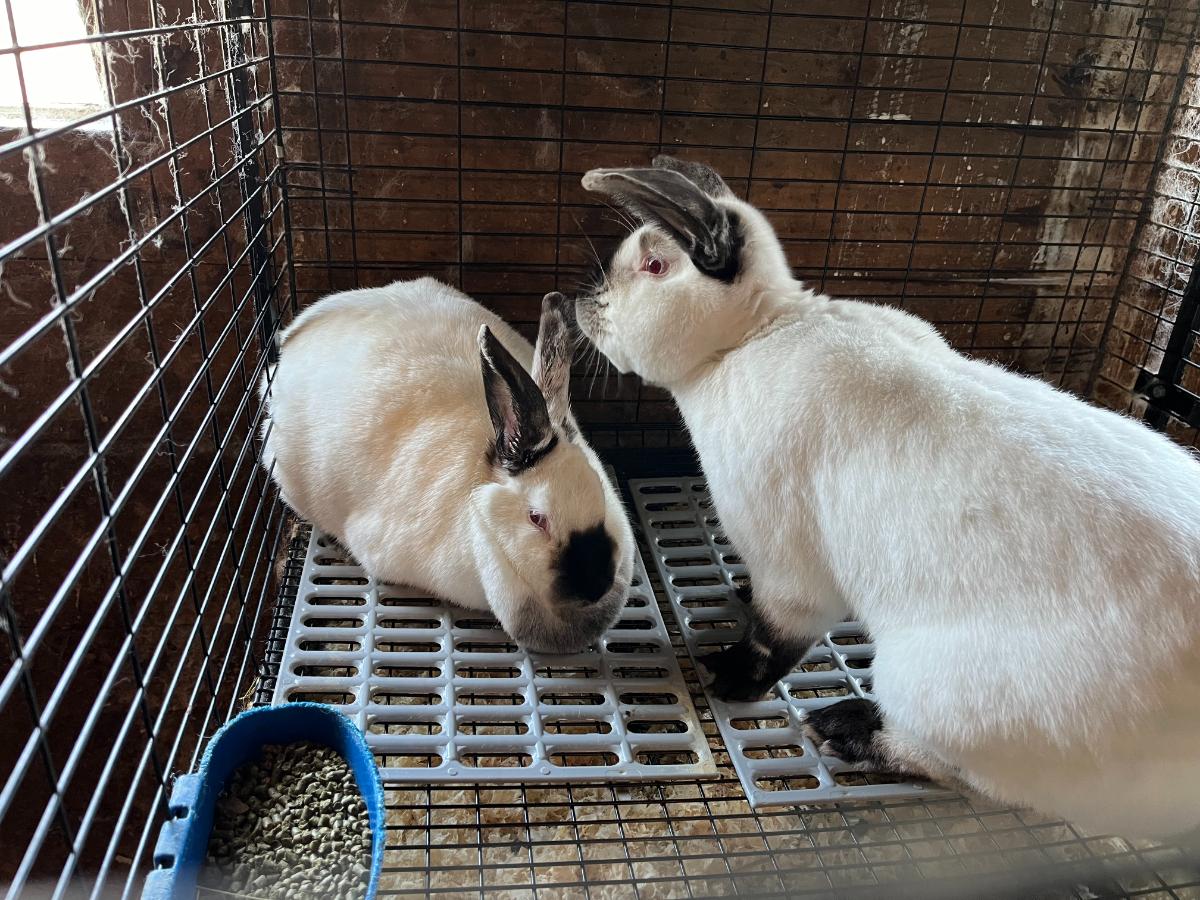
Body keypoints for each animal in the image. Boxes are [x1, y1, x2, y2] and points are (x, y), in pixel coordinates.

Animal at [576, 155, 1200, 839]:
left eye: (656, 266)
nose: (584, 302)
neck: (750, 337)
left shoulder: (787, 562)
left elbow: (776, 634)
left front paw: (727, 672)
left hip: (955, 697)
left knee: (960, 771)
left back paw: (844, 730)